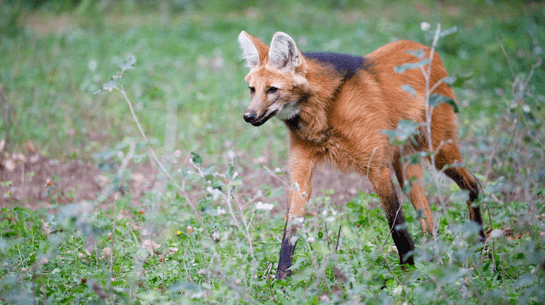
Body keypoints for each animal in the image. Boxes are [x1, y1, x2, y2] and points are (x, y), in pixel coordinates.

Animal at [238, 30, 484, 278]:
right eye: (252, 90)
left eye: (272, 89)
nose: (248, 116)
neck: (324, 109)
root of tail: (426, 49)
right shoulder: (301, 169)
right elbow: (291, 229)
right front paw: (281, 279)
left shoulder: (376, 167)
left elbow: (396, 224)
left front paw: (406, 273)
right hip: (404, 164)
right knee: (428, 220)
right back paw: (436, 262)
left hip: (438, 150)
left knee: (472, 184)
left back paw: (480, 246)